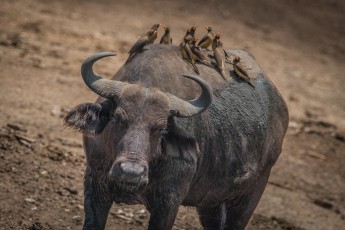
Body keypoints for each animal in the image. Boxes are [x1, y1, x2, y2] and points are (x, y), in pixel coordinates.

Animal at [63, 44, 288, 229]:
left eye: (161, 128)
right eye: (117, 118)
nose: (131, 172)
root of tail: (280, 108)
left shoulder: (169, 202)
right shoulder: (94, 185)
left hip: (250, 194)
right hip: (211, 203)